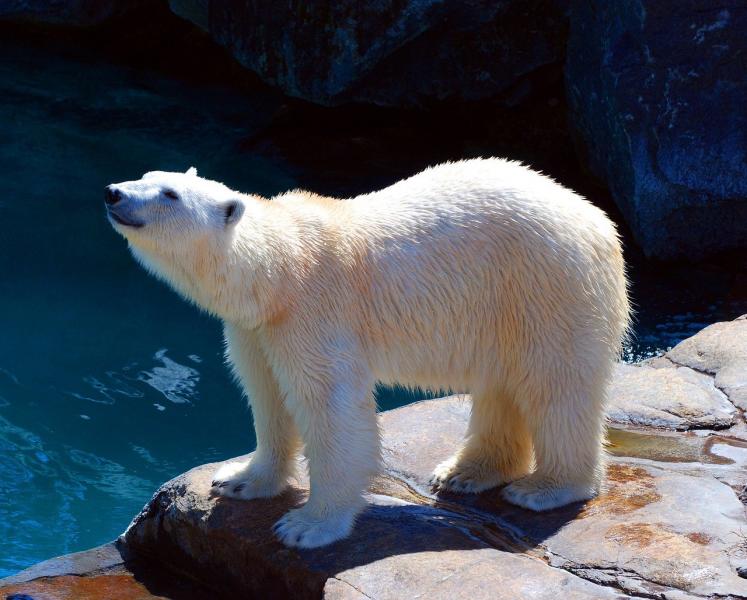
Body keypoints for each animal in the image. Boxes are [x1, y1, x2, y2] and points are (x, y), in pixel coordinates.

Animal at [106, 158, 632, 548]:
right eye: (147, 176)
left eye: (170, 195)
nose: (113, 192)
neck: (279, 270)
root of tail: (599, 221)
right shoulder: (257, 328)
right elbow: (267, 394)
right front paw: (239, 479)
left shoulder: (315, 313)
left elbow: (331, 408)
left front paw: (307, 526)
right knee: (501, 384)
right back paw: (465, 473)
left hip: (547, 285)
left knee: (555, 385)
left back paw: (545, 488)